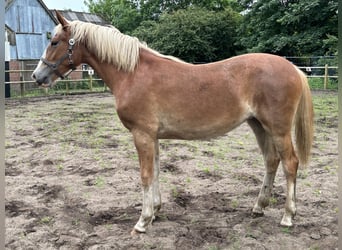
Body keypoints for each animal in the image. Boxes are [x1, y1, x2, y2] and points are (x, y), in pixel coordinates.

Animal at [31, 11, 312, 234]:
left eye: (54, 42)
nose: (37, 76)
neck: (133, 74)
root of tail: (294, 69)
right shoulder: (151, 136)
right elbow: (155, 171)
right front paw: (155, 211)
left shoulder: (142, 134)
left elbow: (145, 175)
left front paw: (142, 221)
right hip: (258, 125)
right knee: (271, 161)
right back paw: (258, 207)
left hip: (278, 129)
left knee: (290, 163)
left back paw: (288, 216)